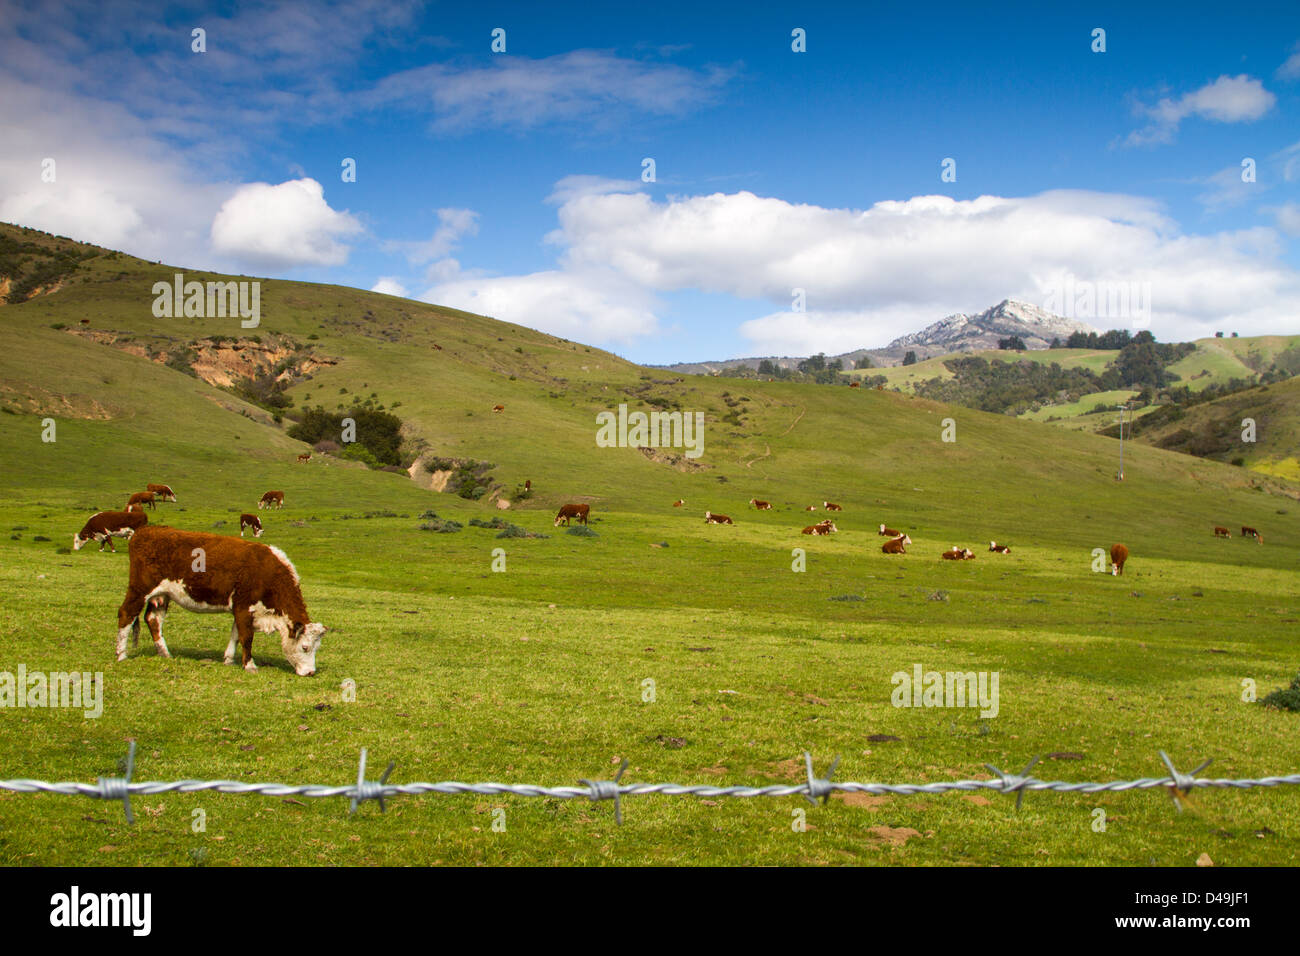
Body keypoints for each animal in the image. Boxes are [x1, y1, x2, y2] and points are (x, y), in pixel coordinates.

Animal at [118, 528, 325, 676]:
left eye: (317, 647)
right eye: (305, 647)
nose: (311, 672)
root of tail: (144, 531)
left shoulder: (241, 610)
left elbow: (235, 634)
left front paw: (228, 660)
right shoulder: (244, 607)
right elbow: (246, 637)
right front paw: (249, 665)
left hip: (161, 595)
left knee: (154, 619)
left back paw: (165, 654)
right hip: (139, 589)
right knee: (126, 614)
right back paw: (121, 654)